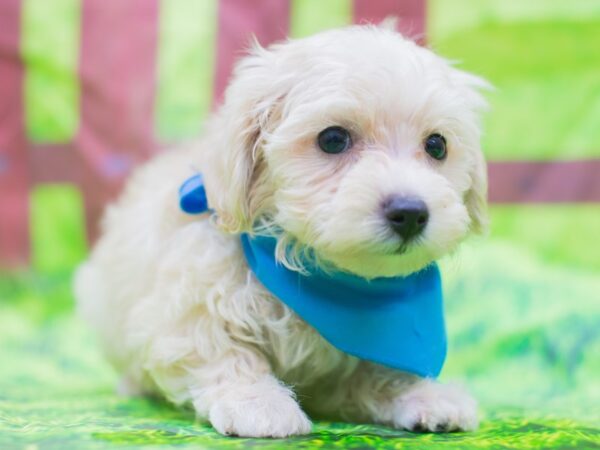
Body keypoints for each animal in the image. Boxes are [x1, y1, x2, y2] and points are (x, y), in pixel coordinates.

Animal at [75, 23, 488, 436]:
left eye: (437, 145)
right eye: (333, 139)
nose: (410, 212)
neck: (324, 278)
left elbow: (379, 373)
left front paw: (424, 395)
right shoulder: (187, 303)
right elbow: (219, 350)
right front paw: (258, 403)